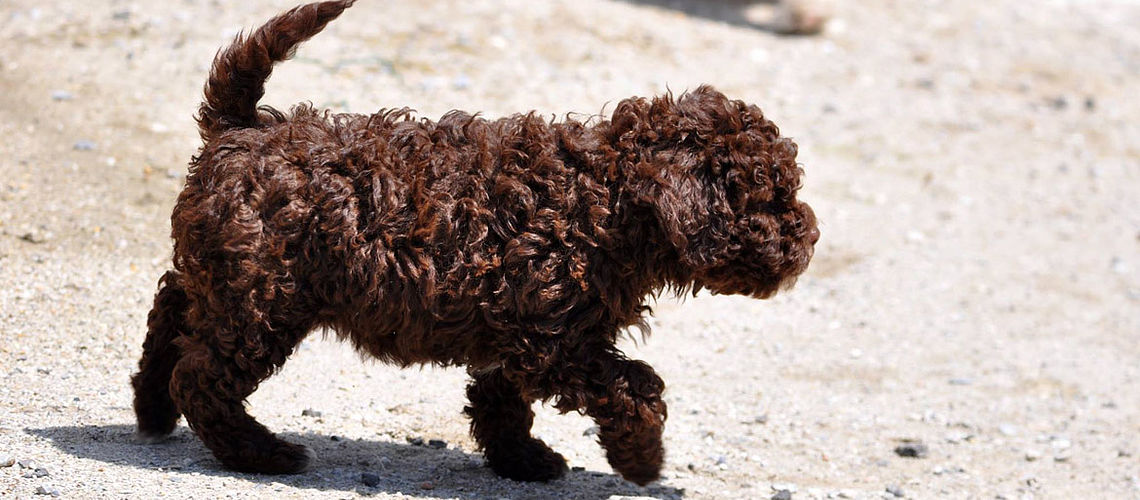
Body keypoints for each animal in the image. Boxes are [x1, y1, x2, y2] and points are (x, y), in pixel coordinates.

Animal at [131, 0, 820, 485]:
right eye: (771, 199)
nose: (810, 241)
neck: (608, 200)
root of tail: (241, 129)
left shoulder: (520, 331)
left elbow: (499, 397)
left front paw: (523, 461)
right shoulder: (557, 340)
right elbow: (635, 387)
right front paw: (642, 460)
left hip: (228, 276)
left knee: (171, 311)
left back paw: (151, 411)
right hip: (262, 295)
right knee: (204, 374)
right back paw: (258, 452)